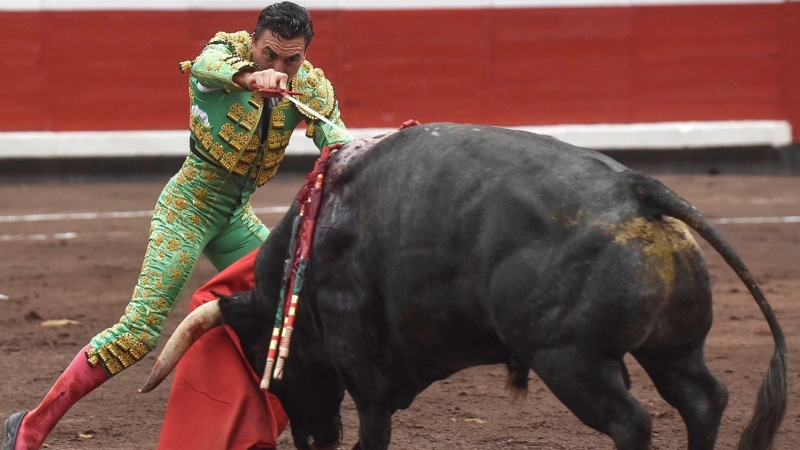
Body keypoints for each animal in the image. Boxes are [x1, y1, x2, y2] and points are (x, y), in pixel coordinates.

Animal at [141, 123, 784, 450]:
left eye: (263, 360)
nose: (311, 441)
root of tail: (637, 191)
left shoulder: (357, 349)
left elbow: (372, 422)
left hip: (572, 360)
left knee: (633, 422)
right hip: (671, 348)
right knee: (702, 399)